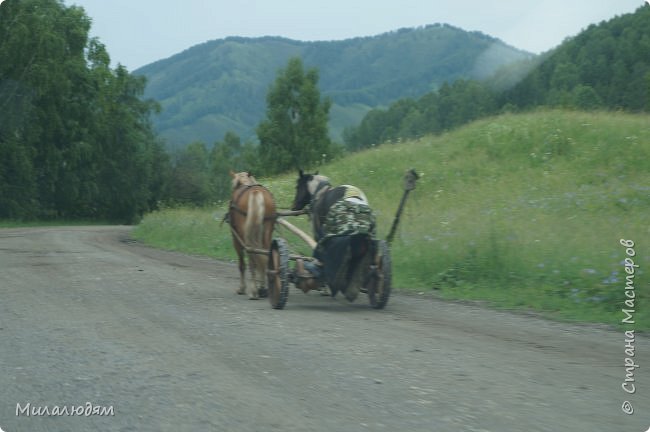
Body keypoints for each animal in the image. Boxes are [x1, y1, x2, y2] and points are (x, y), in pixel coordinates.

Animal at [227, 170, 274, 298]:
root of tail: (255, 191)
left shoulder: (235, 238)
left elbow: (242, 264)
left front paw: (242, 288)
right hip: (267, 230)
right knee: (264, 255)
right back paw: (263, 288)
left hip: (245, 236)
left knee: (252, 256)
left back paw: (253, 291)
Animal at [290, 170, 374, 300]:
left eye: (297, 186)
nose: (293, 207)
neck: (318, 192)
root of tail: (355, 200)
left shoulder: (319, 236)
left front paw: (324, 288)